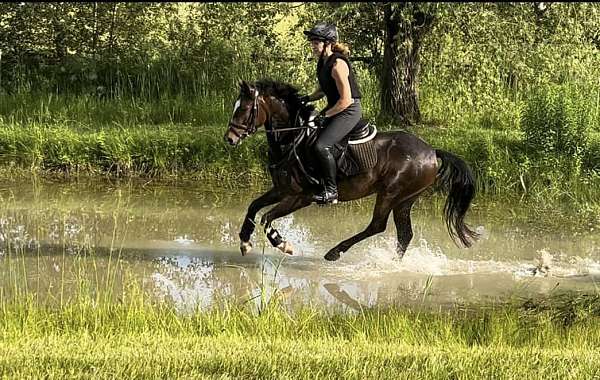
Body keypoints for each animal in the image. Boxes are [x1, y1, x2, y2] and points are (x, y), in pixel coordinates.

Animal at [225, 78, 478, 262]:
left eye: (244, 108)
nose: (229, 138)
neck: (293, 138)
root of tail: (432, 151)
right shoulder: (282, 190)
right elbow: (253, 207)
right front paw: (245, 241)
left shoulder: (301, 197)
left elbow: (267, 217)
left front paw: (282, 243)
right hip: (405, 200)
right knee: (404, 234)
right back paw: (393, 263)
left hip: (391, 193)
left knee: (377, 225)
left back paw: (335, 252)